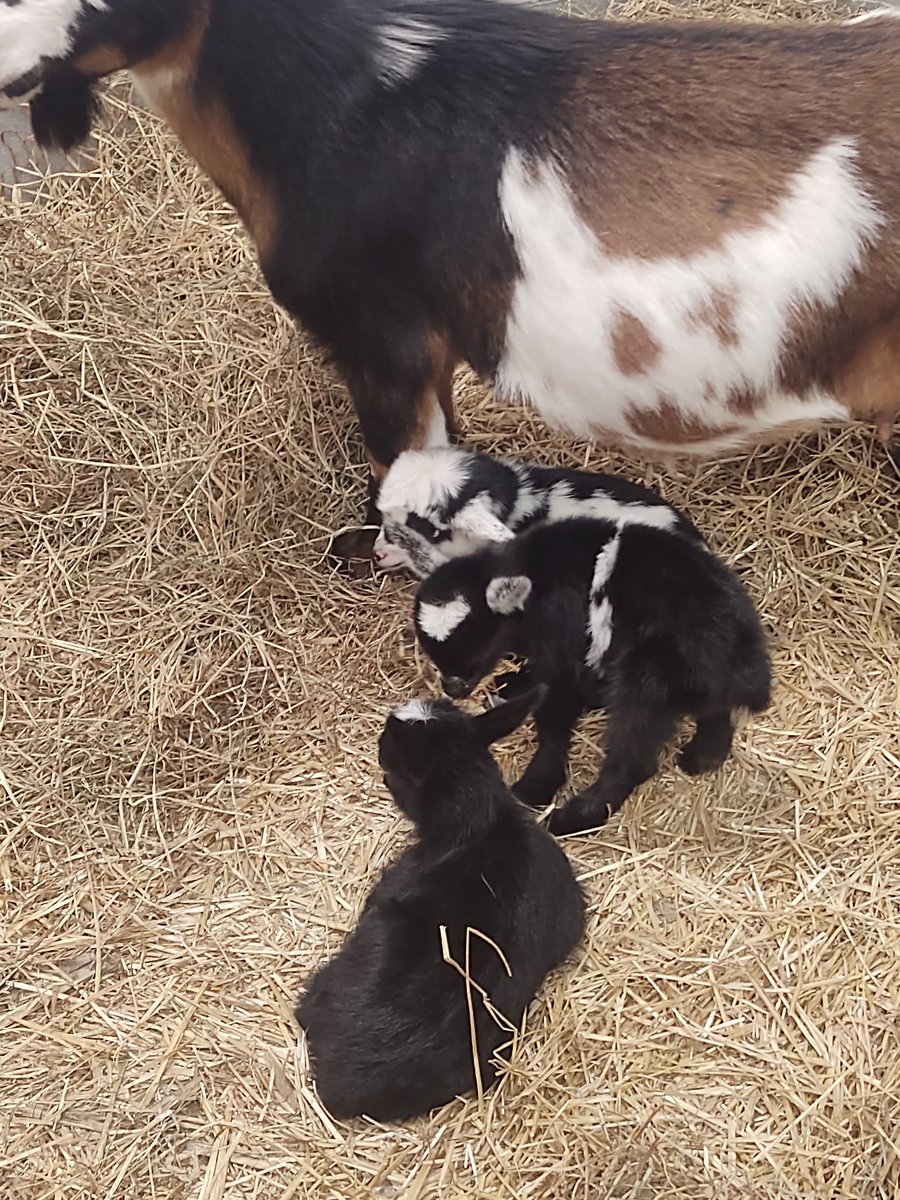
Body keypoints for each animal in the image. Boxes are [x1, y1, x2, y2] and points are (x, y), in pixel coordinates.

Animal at [413, 517, 771, 836]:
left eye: (476, 647)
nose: (452, 688)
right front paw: (512, 683)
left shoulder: (563, 653)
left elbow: (554, 724)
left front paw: (535, 786)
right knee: (715, 713)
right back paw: (702, 756)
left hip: (646, 681)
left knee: (634, 756)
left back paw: (574, 817)